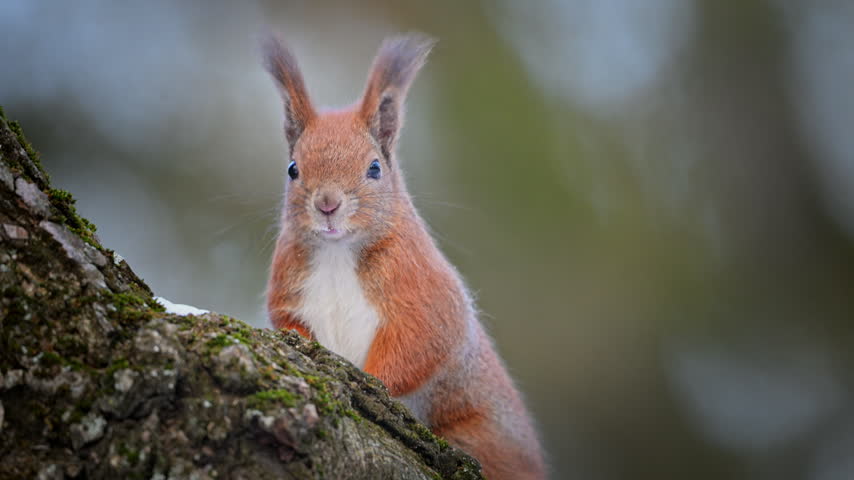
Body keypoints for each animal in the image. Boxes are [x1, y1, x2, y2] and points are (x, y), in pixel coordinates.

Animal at [262, 33, 546, 480]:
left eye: (375, 168)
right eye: (293, 168)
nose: (327, 204)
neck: (337, 253)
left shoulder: (421, 289)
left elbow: (420, 342)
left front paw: (371, 382)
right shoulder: (288, 292)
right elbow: (290, 326)